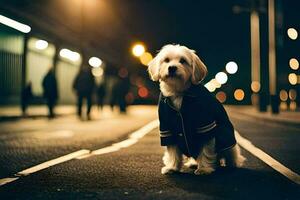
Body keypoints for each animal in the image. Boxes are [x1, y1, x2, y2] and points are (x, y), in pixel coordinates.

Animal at [147, 44, 244, 176]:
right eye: (166, 60)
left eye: (183, 61)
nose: (172, 67)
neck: (179, 93)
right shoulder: (167, 129)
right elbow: (173, 151)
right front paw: (172, 167)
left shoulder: (205, 126)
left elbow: (205, 150)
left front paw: (204, 168)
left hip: (226, 136)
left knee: (231, 153)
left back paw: (232, 164)